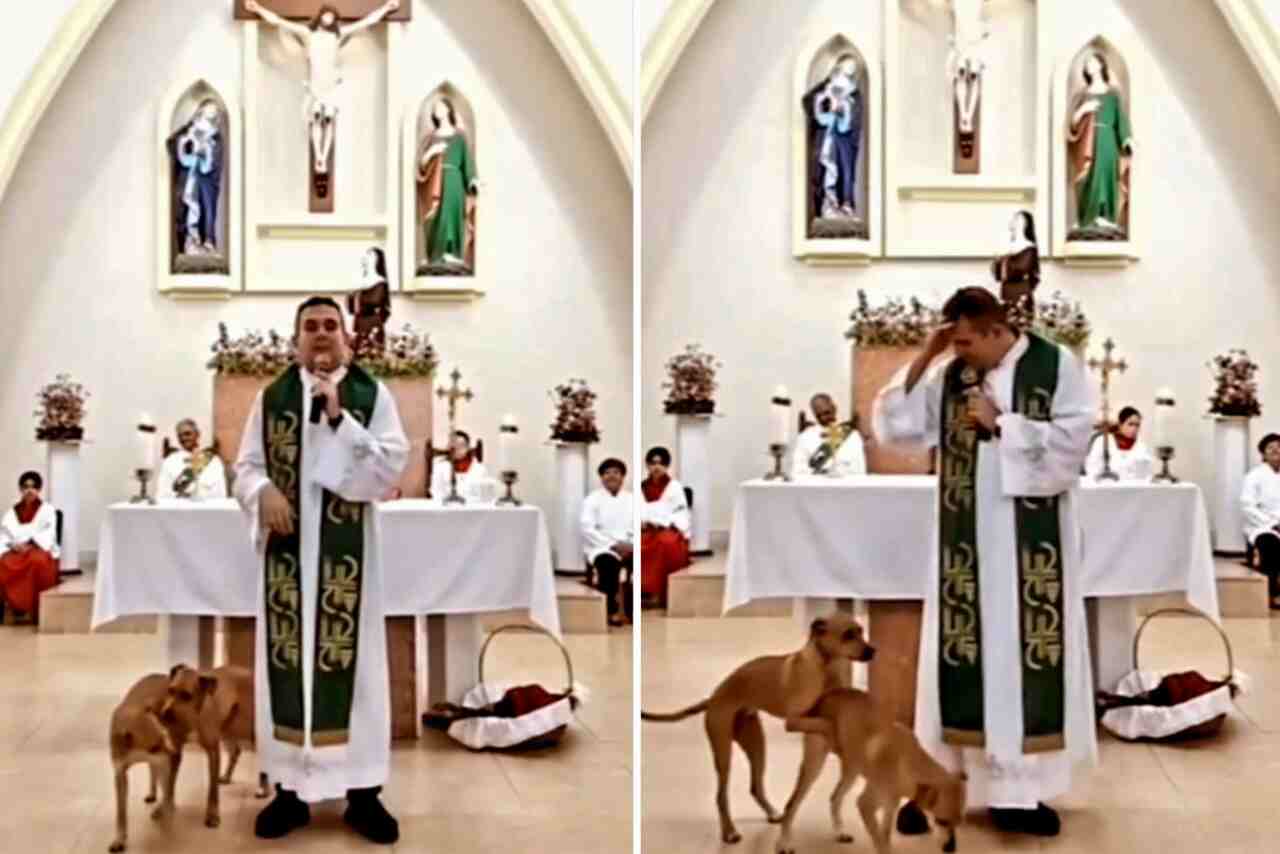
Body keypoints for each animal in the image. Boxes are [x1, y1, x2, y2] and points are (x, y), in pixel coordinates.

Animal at [110, 665, 267, 854]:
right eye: (170, 690)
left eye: (187, 695)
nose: (164, 712)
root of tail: (247, 671)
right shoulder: (166, 755)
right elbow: (163, 788)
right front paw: (121, 838)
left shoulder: (211, 752)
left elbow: (211, 791)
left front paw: (212, 815)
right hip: (229, 728)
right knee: (236, 751)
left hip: (249, 729)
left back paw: (263, 788)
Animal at [645, 617, 875, 845]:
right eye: (848, 634)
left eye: (861, 631)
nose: (872, 651)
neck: (826, 667)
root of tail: (713, 699)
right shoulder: (793, 721)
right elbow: (826, 723)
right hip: (723, 750)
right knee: (721, 796)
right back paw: (729, 831)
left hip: (756, 745)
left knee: (755, 787)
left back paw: (772, 813)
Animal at [773, 686, 962, 854]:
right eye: (941, 821)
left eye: (958, 822)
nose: (950, 849)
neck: (908, 763)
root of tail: (826, 694)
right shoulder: (865, 805)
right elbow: (881, 842)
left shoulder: (889, 806)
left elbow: (884, 836)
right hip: (814, 766)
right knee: (791, 805)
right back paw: (783, 844)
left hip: (852, 770)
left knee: (835, 798)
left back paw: (839, 832)